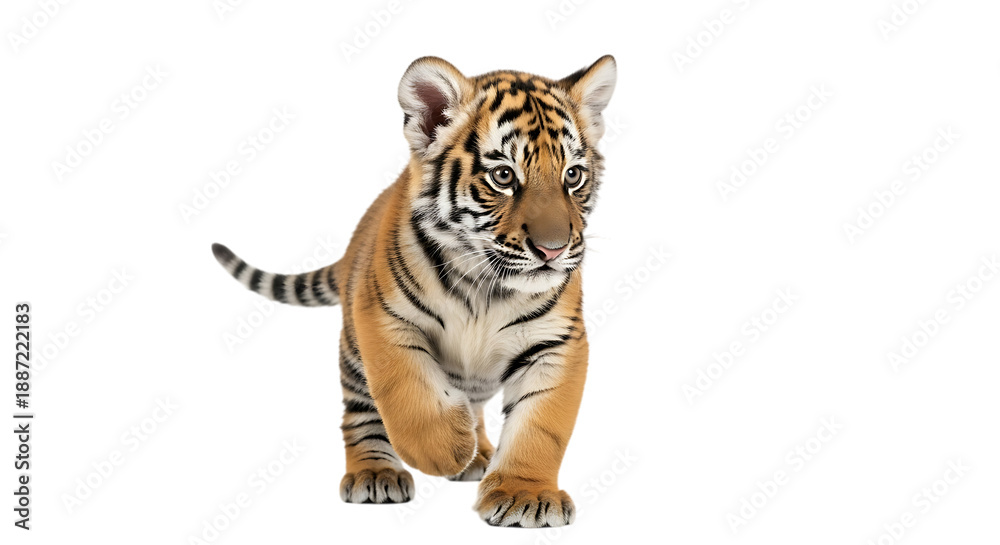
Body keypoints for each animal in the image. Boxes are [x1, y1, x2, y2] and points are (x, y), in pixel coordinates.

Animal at [211, 55, 616, 527]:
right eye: (502, 176)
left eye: (573, 175)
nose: (553, 250)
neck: (486, 286)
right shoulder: (384, 320)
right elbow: (409, 395)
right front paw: (445, 451)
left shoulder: (557, 343)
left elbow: (542, 425)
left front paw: (525, 495)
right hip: (353, 352)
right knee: (360, 414)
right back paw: (378, 473)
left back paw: (479, 453)